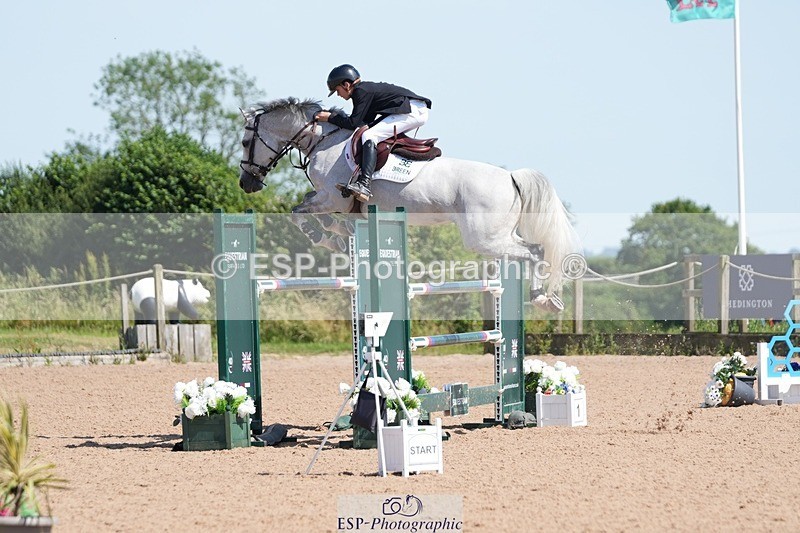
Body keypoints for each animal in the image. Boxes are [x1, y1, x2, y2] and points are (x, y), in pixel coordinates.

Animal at [238, 97, 579, 311]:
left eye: (244, 142)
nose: (246, 184)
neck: (323, 140)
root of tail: (511, 176)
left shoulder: (332, 197)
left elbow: (299, 214)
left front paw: (327, 238)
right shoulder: (333, 201)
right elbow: (315, 211)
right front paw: (339, 235)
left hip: (483, 238)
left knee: (535, 251)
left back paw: (541, 299)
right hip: (500, 235)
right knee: (531, 250)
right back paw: (548, 299)